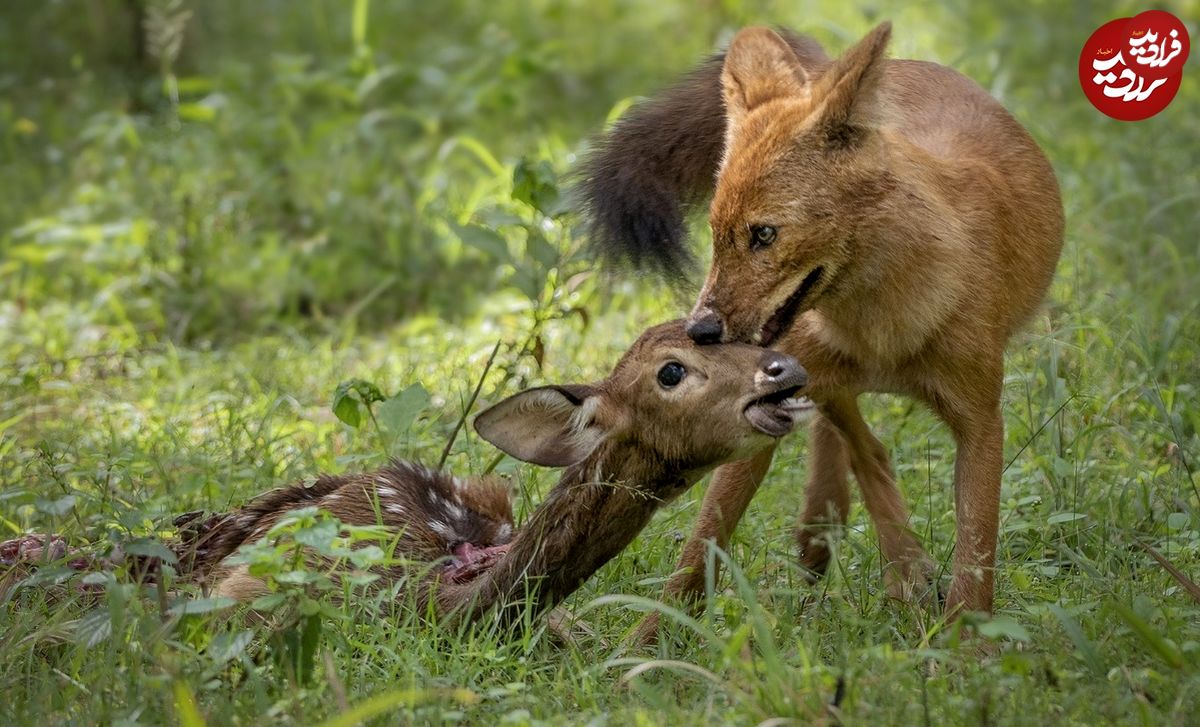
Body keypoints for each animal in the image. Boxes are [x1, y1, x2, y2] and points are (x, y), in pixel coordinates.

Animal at [576, 25, 1065, 623]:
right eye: (715, 232)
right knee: (859, 443)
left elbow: (976, 558)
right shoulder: (763, 407)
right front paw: (650, 640)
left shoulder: (980, 420)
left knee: (858, 440)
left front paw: (964, 640)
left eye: (764, 234)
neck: (880, 327)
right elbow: (701, 548)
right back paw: (863, 549)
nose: (701, 332)